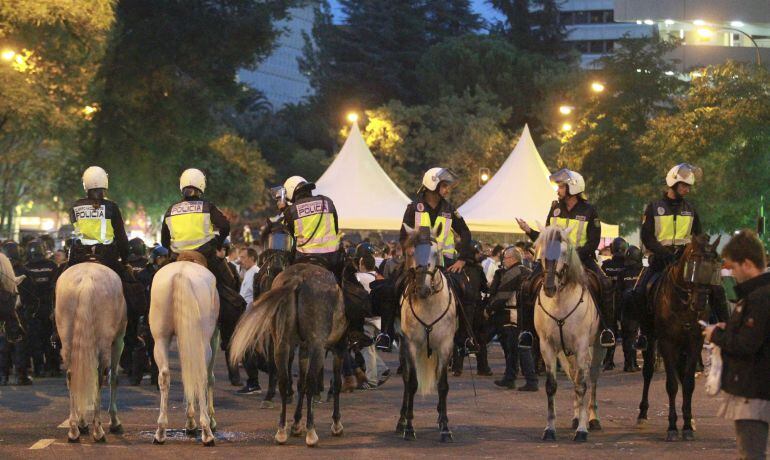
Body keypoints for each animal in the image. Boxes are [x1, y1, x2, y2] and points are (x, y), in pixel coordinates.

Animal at [54, 262, 126, 442]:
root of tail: (86, 279)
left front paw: (82, 423)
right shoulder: (118, 342)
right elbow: (113, 378)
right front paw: (114, 421)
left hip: (68, 340)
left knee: (72, 376)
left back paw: (74, 430)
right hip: (105, 343)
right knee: (99, 377)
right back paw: (98, 431)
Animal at [148, 260, 219, 448]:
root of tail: (181, 273)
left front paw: (190, 420)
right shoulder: (213, 337)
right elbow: (207, 378)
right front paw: (206, 420)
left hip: (160, 339)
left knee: (164, 376)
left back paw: (160, 431)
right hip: (203, 341)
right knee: (201, 376)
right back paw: (207, 432)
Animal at [396, 226, 456, 442]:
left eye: (436, 253)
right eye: (410, 252)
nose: (423, 289)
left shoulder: (446, 345)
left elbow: (443, 385)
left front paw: (445, 427)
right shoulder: (411, 345)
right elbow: (412, 383)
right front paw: (408, 427)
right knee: (406, 380)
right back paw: (401, 421)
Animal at [532, 226, 604, 442]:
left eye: (563, 252)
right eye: (541, 252)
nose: (549, 288)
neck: (559, 302)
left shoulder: (581, 346)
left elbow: (582, 384)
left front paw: (582, 430)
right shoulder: (547, 347)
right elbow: (551, 386)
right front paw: (550, 429)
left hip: (596, 347)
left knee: (592, 378)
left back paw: (592, 418)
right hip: (565, 353)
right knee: (574, 375)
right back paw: (576, 416)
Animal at [636, 235, 720, 440]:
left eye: (713, 267)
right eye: (692, 266)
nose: (700, 302)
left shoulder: (694, 343)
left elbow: (688, 382)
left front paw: (688, 425)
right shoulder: (667, 343)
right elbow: (672, 384)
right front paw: (673, 426)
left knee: (681, 374)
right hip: (650, 336)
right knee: (648, 371)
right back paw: (642, 413)